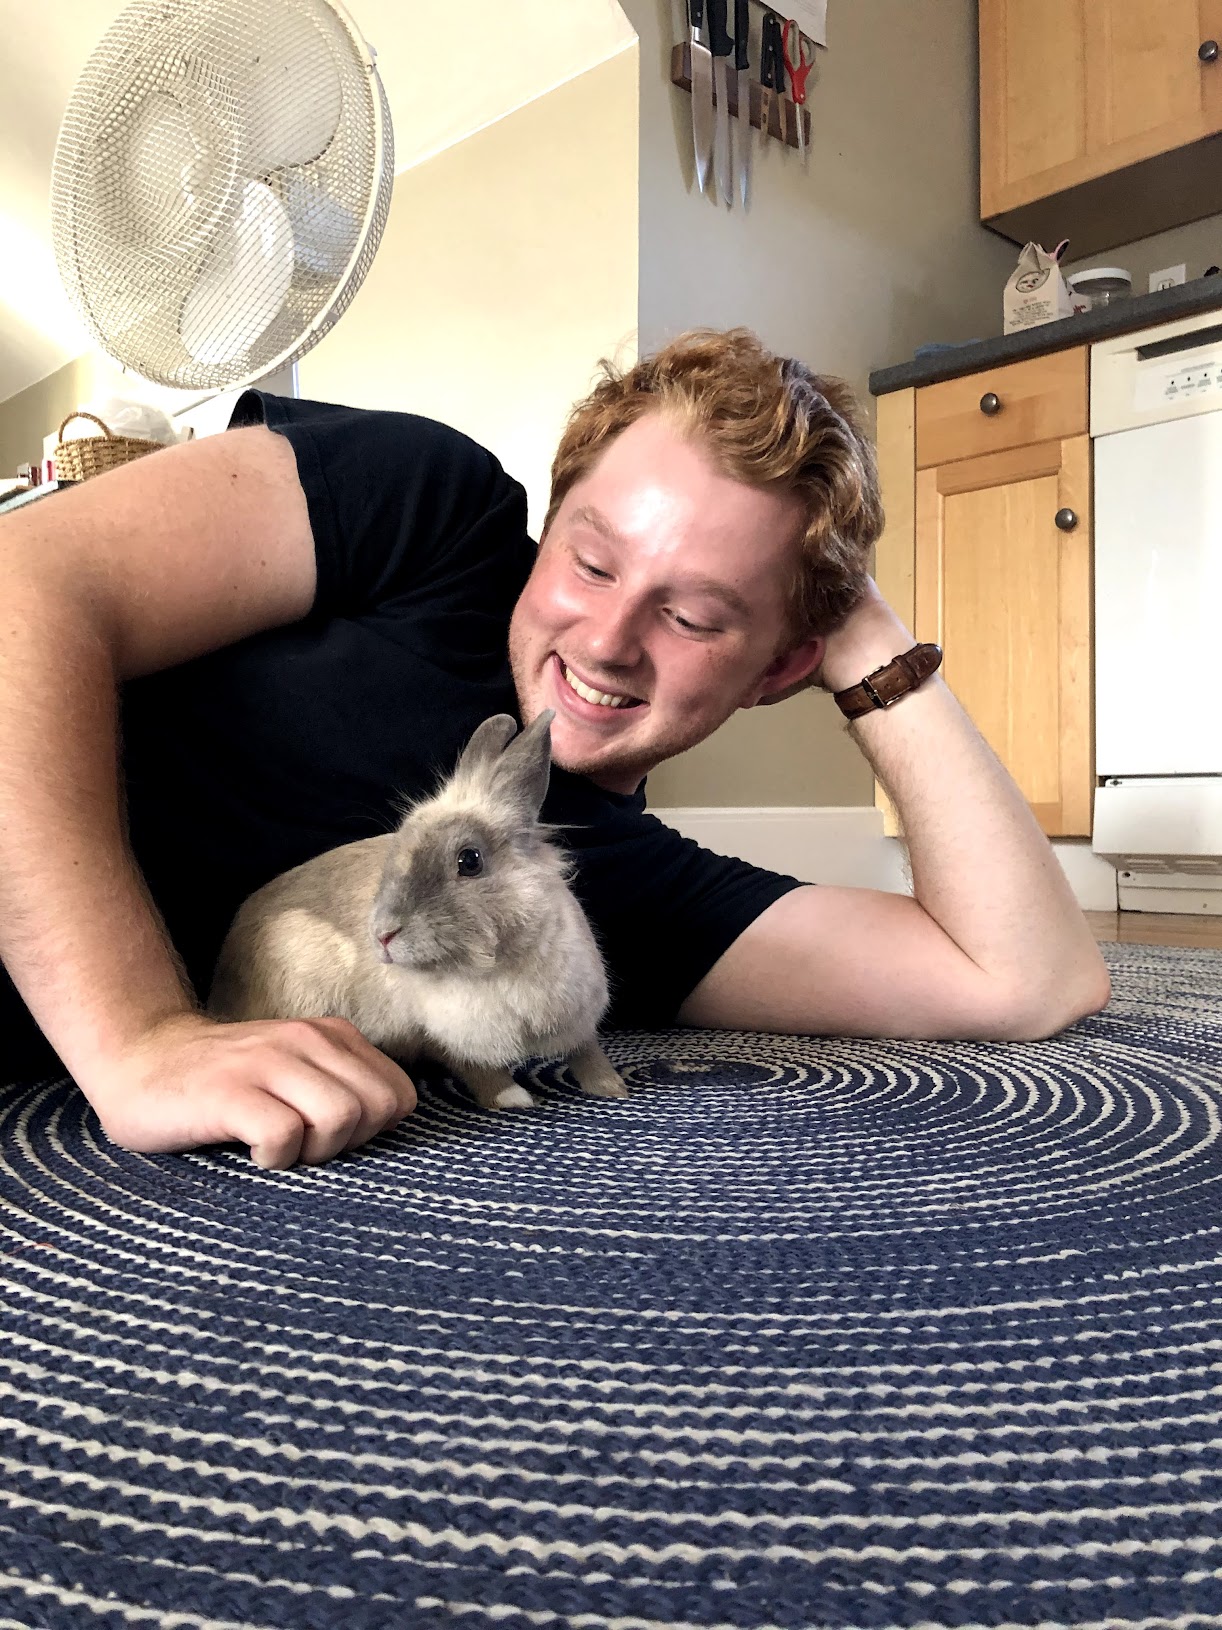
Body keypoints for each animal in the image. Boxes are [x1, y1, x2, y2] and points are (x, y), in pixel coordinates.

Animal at [206, 710, 626, 1111]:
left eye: (469, 860)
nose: (383, 935)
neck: (495, 966)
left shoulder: (577, 1017)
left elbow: (588, 1052)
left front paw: (612, 1088)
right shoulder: (441, 1035)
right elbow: (477, 1069)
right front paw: (512, 1098)